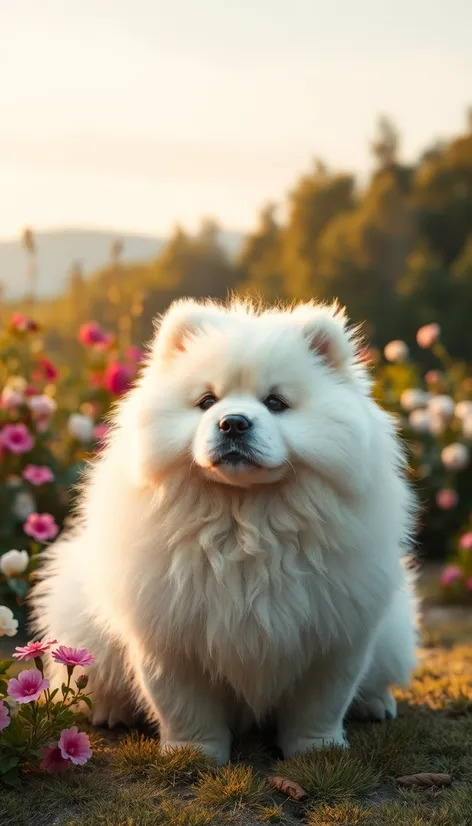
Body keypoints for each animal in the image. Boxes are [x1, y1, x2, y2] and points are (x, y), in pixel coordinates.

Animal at [31, 300, 418, 764]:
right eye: (207, 401)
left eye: (276, 402)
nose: (233, 423)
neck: (245, 523)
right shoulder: (172, 635)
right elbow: (184, 704)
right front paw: (194, 752)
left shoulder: (333, 636)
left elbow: (320, 704)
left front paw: (316, 749)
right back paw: (112, 711)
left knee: (376, 677)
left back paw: (375, 703)